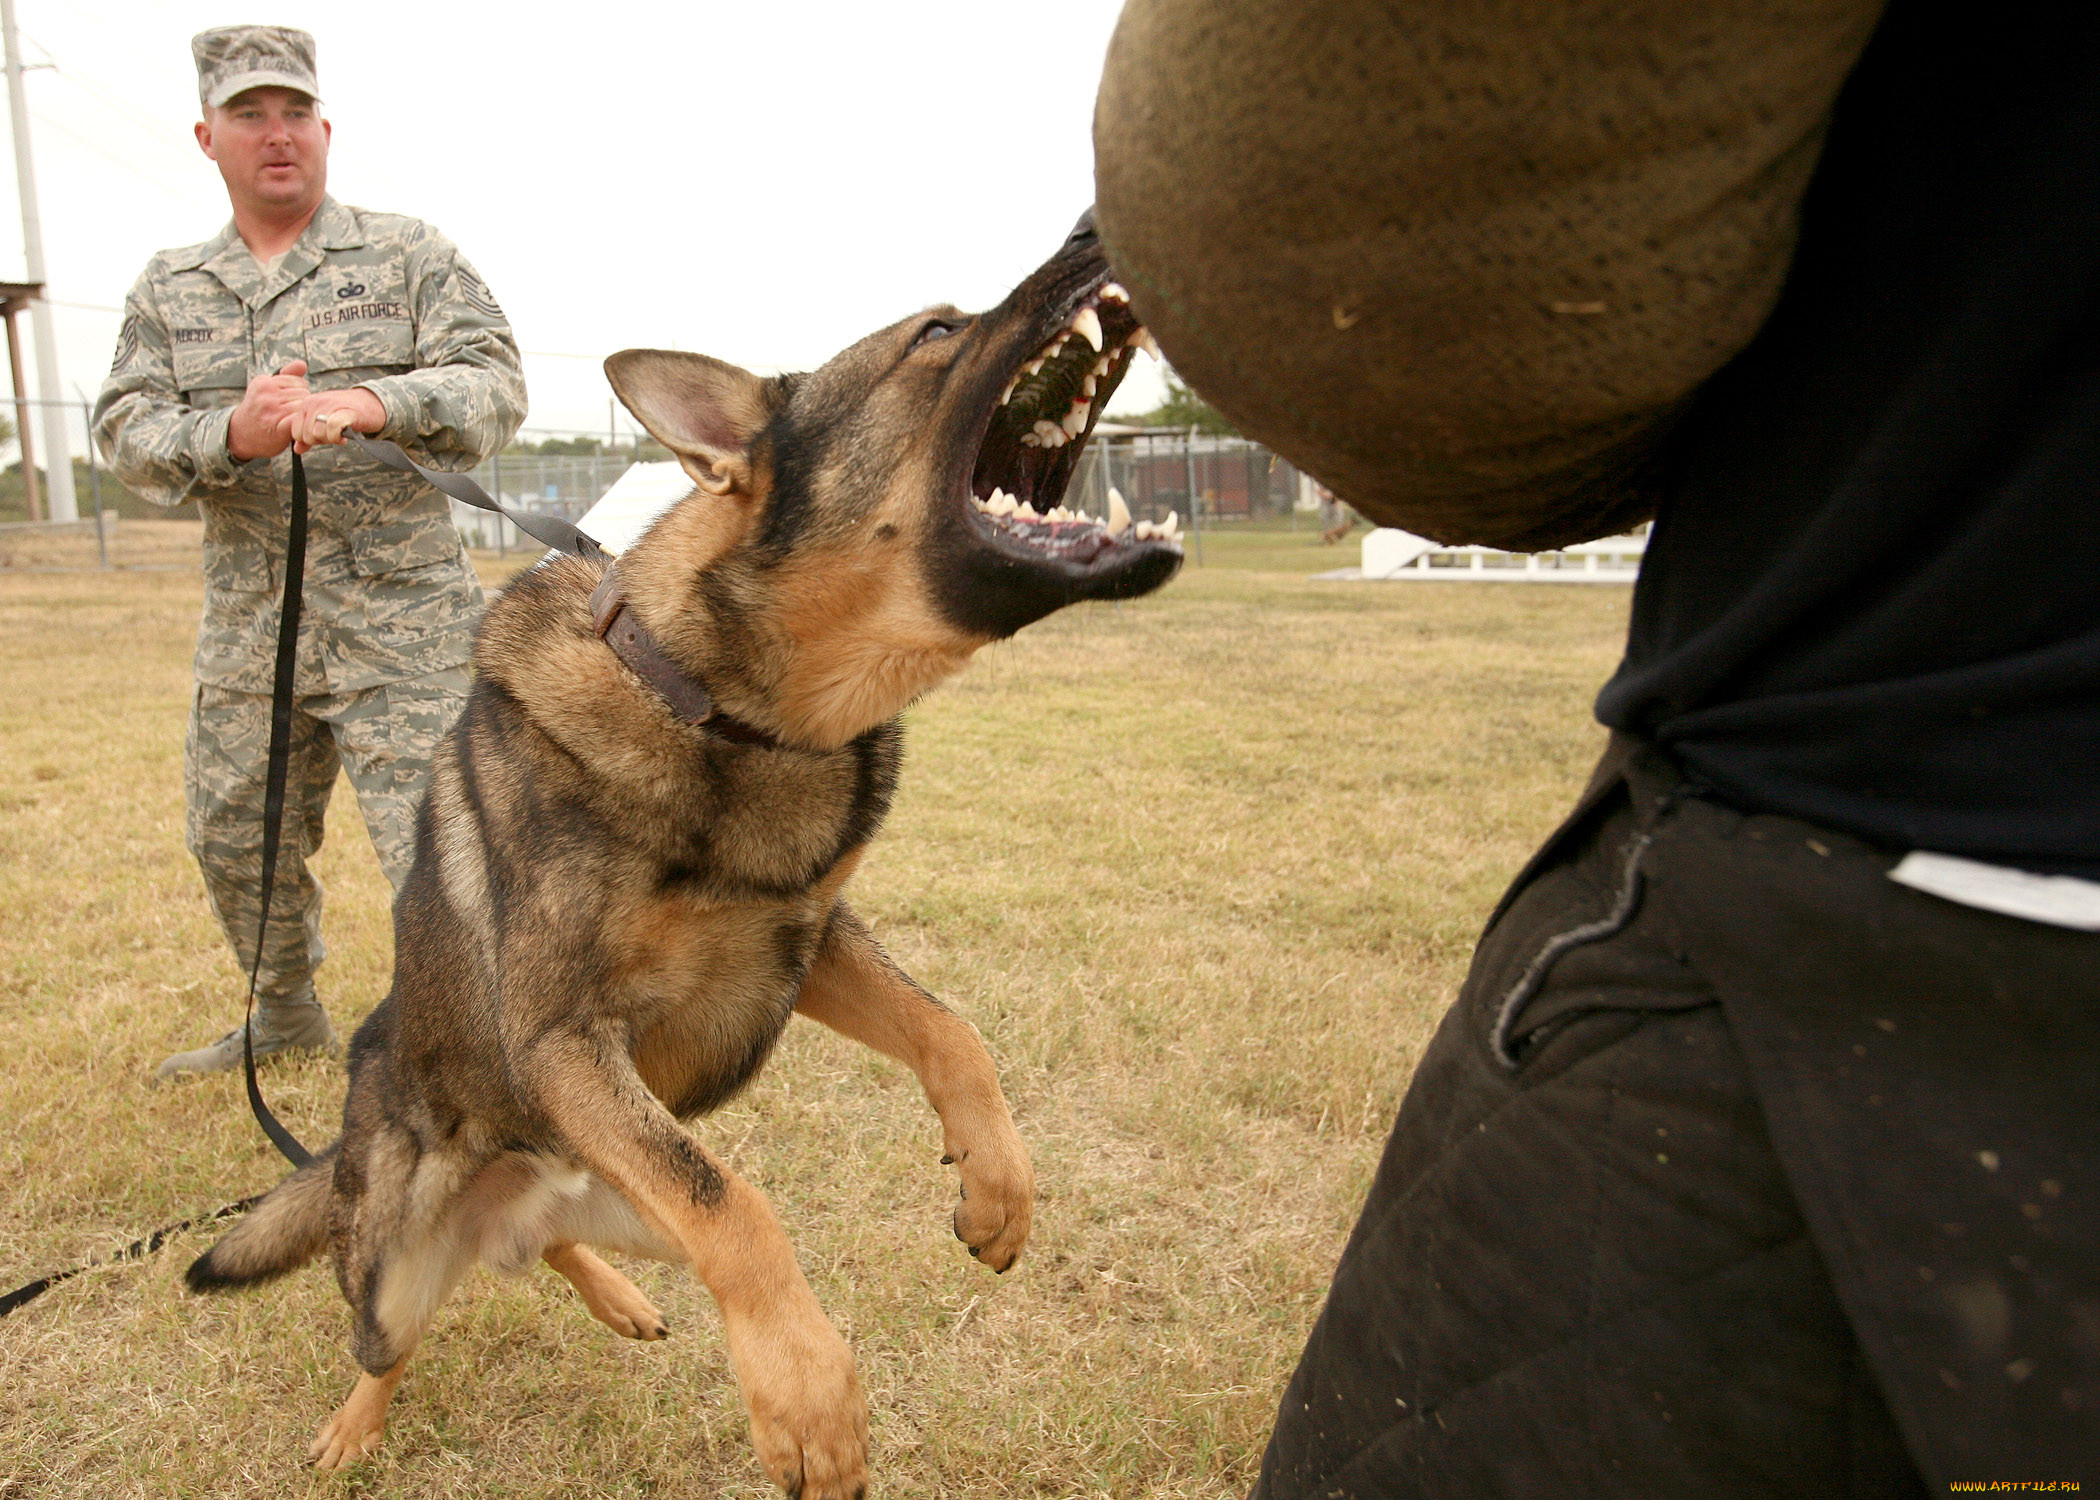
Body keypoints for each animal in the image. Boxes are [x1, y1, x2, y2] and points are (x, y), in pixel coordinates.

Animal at [184, 213, 1184, 1495]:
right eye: (937, 334)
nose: (1095, 227)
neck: (715, 701)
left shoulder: (804, 942)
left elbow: (949, 1030)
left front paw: (996, 1189)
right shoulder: (566, 1041)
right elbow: (740, 1205)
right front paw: (808, 1396)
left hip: (613, 1196)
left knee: (553, 1246)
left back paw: (618, 1300)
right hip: (398, 1264)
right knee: (390, 1341)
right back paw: (354, 1429)